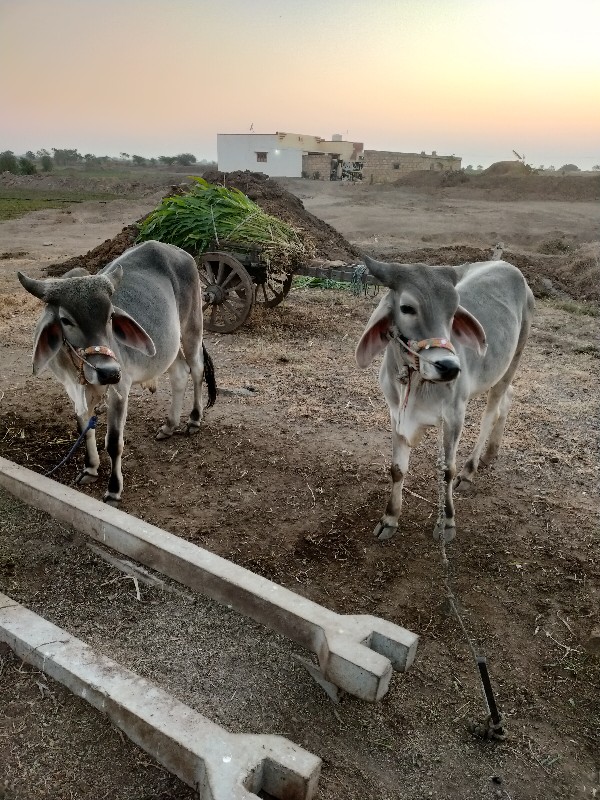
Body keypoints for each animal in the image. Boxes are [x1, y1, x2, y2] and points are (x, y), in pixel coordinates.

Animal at [17, 239, 217, 500]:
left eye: (111, 315)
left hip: (192, 327)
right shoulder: (73, 390)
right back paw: (169, 425)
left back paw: (194, 419)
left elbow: (113, 442)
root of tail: (178, 252)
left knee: (197, 369)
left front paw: (113, 488)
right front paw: (90, 468)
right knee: (180, 373)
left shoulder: (120, 389)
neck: (82, 372)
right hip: (166, 346)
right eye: (66, 320)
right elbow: (85, 430)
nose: (109, 372)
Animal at [356, 256, 536, 544]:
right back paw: (491, 453)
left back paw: (470, 468)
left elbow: (446, 471)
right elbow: (397, 469)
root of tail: (508, 265)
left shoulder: (454, 415)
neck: (416, 380)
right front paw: (389, 518)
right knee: (508, 399)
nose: (449, 367)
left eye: (453, 312)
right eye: (407, 308)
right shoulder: (396, 414)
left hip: (513, 360)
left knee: (492, 413)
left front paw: (447, 522)